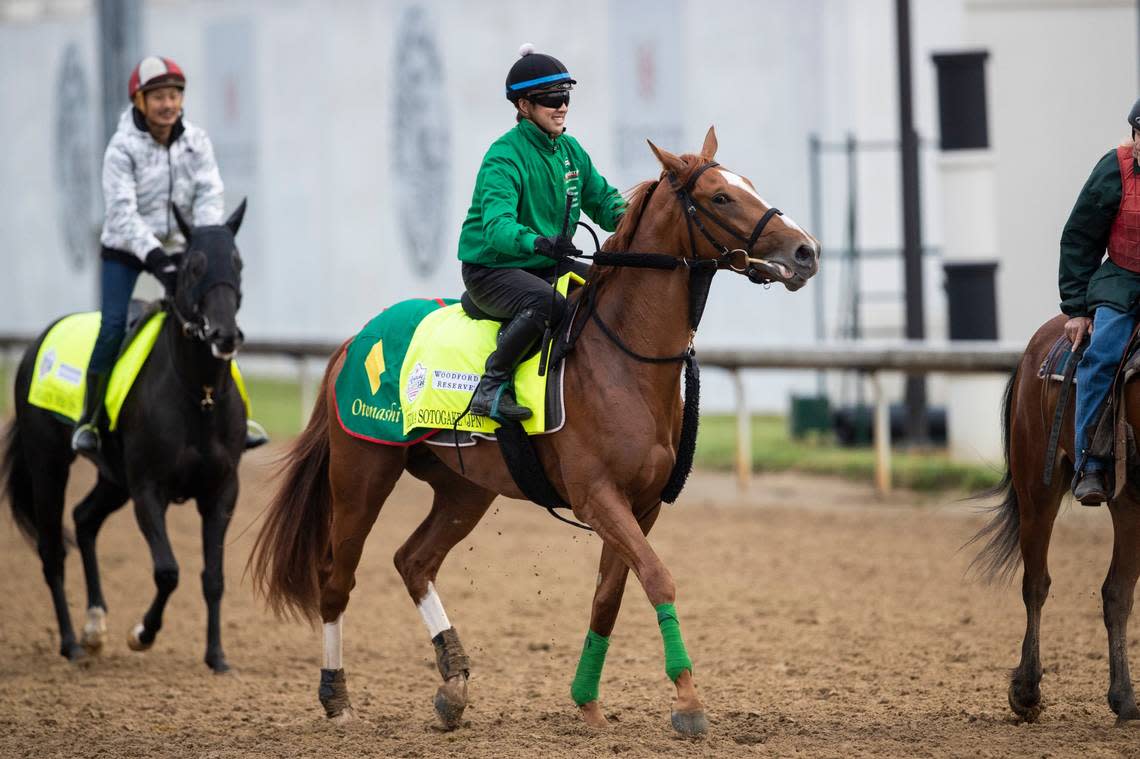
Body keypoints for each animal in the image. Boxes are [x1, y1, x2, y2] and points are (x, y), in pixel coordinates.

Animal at [4, 200, 249, 670]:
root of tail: (36, 343)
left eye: (238, 262)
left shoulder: (222, 490)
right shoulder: (148, 489)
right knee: (52, 550)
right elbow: (168, 571)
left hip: (113, 478)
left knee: (84, 519)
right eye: (193, 266)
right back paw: (71, 642)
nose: (224, 334)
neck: (200, 396)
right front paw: (142, 633)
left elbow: (213, 576)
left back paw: (95, 627)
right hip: (48, 464)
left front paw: (217, 656)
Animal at [249, 128, 820, 733]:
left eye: (748, 183)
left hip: (464, 489)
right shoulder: (597, 497)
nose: (806, 251)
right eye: (720, 197)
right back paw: (336, 697)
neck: (622, 358)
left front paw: (588, 700)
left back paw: (453, 684)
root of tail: (354, 338)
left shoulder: (641, 505)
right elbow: (657, 576)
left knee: (414, 561)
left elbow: (610, 596)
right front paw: (687, 703)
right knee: (336, 577)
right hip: (362, 474)